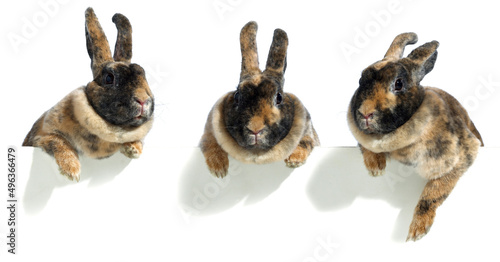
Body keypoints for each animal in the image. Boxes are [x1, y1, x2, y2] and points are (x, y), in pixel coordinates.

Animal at [22, 7, 154, 181]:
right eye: (109, 78)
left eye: (143, 74)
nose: (143, 100)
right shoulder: (42, 135)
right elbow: (57, 140)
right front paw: (71, 171)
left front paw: (133, 150)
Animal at [198, 21, 316, 178]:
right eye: (237, 96)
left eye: (279, 97)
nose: (255, 129)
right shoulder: (209, 129)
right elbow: (209, 143)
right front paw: (219, 170)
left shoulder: (308, 129)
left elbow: (306, 142)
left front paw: (294, 160)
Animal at [348, 31, 484, 241]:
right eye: (361, 80)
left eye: (398, 84)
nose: (365, 113)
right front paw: (376, 169)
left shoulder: (461, 155)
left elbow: (433, 193)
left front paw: (417, 231)